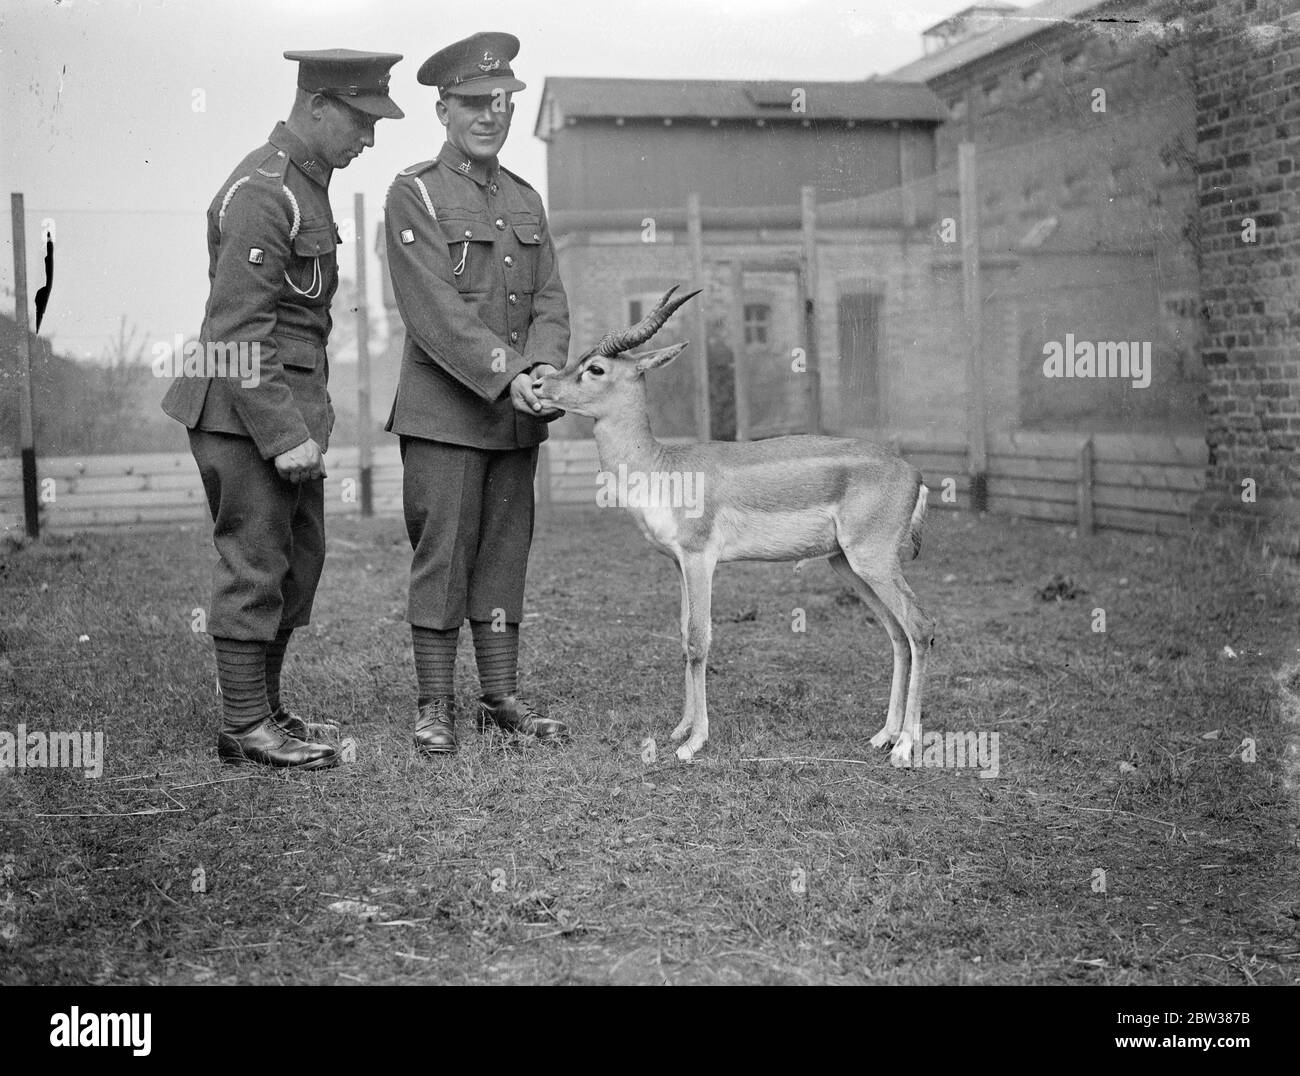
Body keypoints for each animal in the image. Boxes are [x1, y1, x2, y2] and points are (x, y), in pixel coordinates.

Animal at [533, 283, 941, 758]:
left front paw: (695, 742)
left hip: (871, 560)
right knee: (897, 633)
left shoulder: (700, 558)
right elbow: (682, 636)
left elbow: (699, 640)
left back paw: (905, 748)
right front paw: (680, 728)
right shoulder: (678, 564)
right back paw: (884, 735)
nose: (539, 384)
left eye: (595, 368)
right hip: (847, 564)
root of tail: (913, 472)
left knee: (919, 626)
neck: (662, 467)